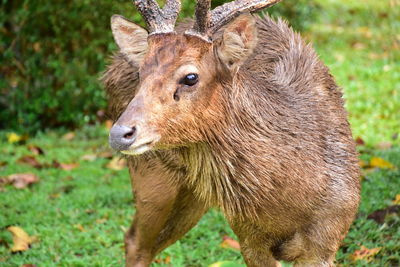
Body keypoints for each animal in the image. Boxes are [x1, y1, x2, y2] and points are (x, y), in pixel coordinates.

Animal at [101, 0, 360, 266]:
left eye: (190, 77)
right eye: (140, 72)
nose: (120, 133)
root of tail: (110, 70)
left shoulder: (328, 236)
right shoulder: (247, 236)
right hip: (152, 176)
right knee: (135, 241)